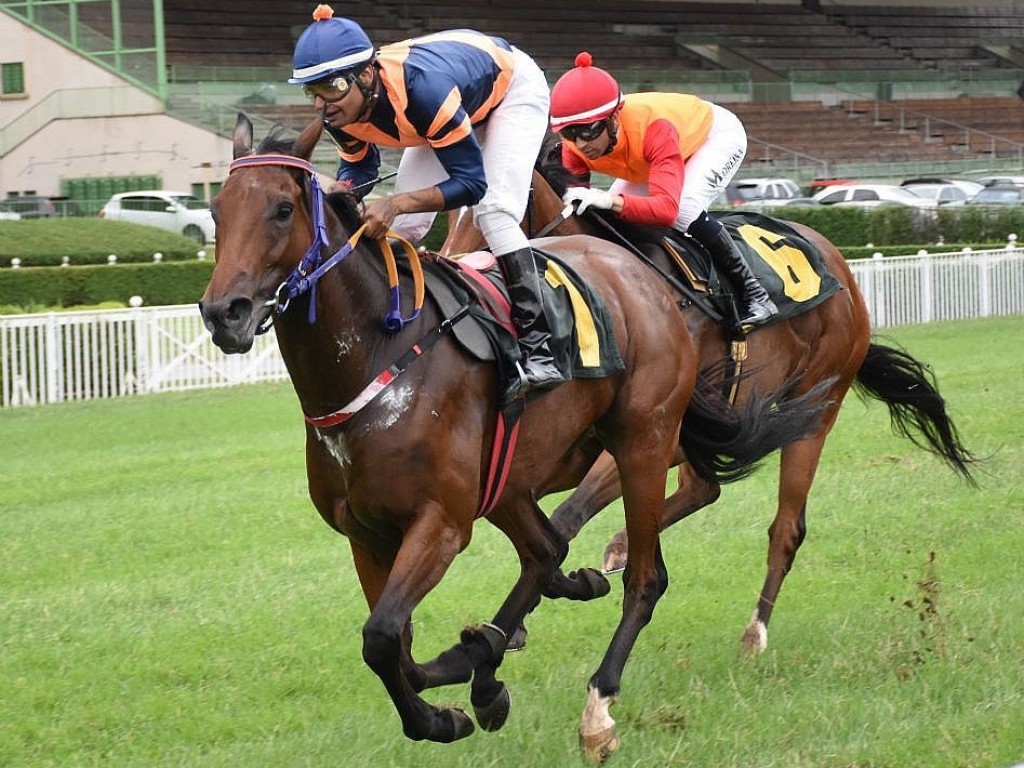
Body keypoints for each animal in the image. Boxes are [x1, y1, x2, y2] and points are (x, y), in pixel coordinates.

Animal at [197, 114, 823, 765]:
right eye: (217, 211)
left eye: (280, 210)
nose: (224, 312)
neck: (380, 354)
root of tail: (642, 278)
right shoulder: (365, 532)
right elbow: (396, 642)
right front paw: (471, 683)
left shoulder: (441, 522)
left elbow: (382, 636)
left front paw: (444, 713)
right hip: (513, 475)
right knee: (546, 550)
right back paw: (503, 648)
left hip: (643, 441)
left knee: (645, 577)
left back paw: (597, 708)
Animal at [440, 148, 974, 655]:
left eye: (501, 209)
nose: (453, 267)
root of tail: (839, 265)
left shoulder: (664, 425)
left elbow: (568, 514)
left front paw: (521, 617)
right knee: (706, 489)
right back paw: (621, 546)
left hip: (814, 408)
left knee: (786, 526)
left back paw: (755, 631)